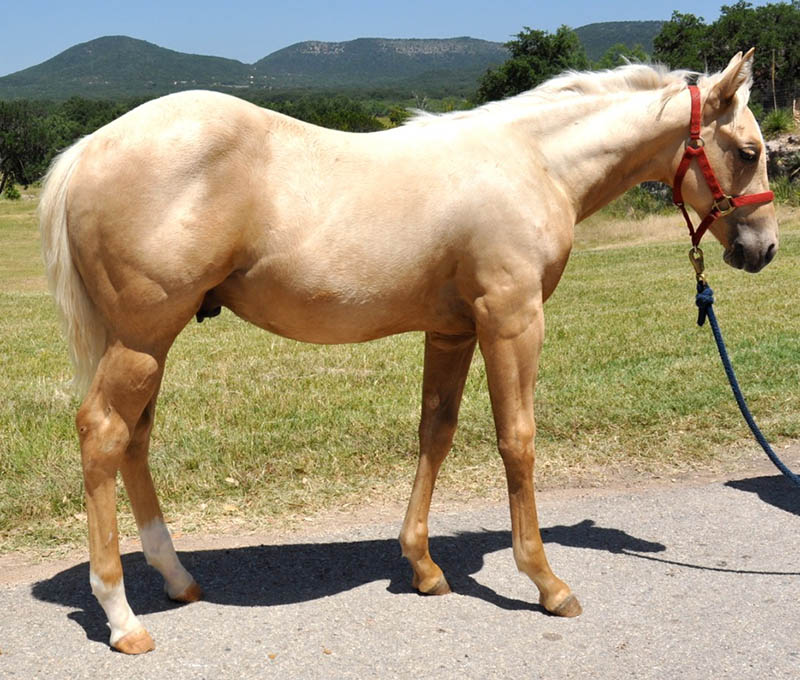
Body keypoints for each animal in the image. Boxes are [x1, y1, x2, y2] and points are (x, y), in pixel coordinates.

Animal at [39, 50, 776, 652]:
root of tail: (90, 148)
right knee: (103, 434)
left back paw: (176, 578)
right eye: (746, 149)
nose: (763, 248)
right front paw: (546, 582)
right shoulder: (512, 320)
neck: (533, 161)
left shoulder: (452, 330)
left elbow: (436, 432)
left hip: (146, 344)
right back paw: (122, 618)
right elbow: (517, 440)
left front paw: (423, 567)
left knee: (134, 441)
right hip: (142, 339)